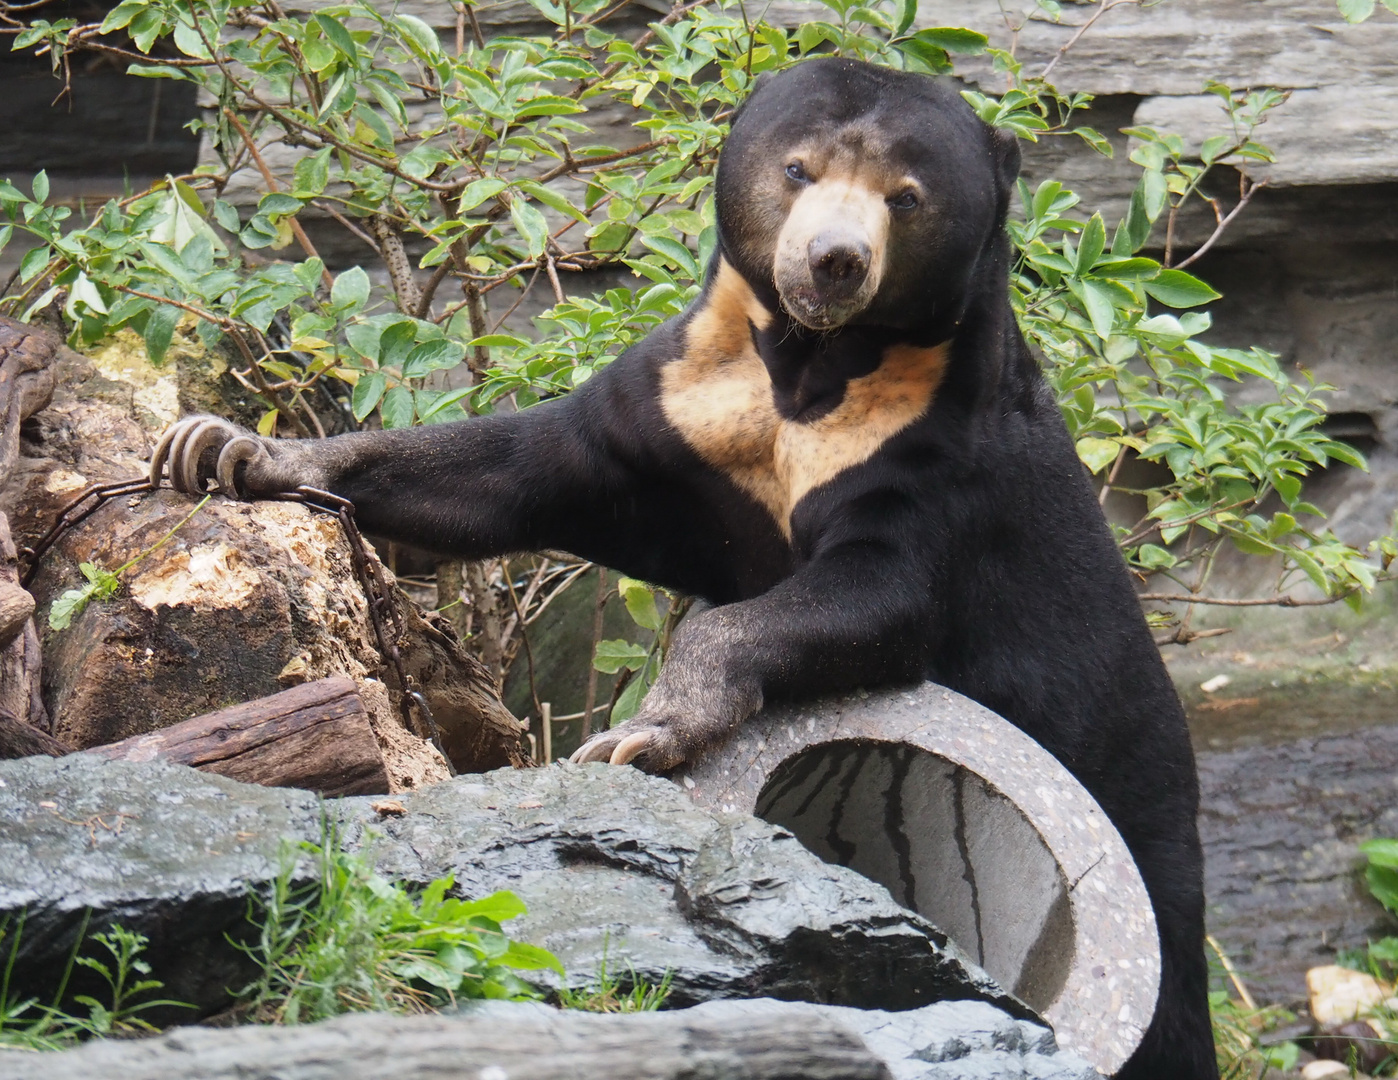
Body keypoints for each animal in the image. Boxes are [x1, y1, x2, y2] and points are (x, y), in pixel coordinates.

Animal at [153, 61, 1219, 1078]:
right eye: (797, 170)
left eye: (906, 197)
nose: (834, 261)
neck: (811, 368)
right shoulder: (681, 407)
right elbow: (511, 471)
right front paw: (225, 450)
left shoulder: (936, 463)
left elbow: (876, 595)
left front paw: (640, 736)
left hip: (1144, 834)